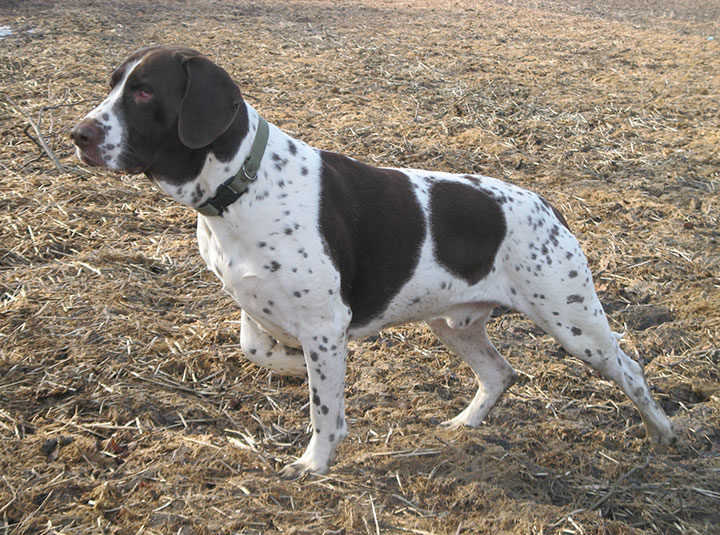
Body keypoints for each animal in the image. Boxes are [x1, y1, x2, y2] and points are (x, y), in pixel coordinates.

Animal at [69, 47, 676, 482]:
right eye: (113, 84)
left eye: (145, 90)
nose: (78, 135)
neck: (242, 184)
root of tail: (548, 206)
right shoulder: (260, 307)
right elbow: (263, 353)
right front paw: (297, 370)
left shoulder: (323, 322)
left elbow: (324, 409)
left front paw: (314, 462)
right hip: (454, 323)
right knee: (501, 373)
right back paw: (464, 424)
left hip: (574, 325)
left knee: (630, 369)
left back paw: (664, 432)